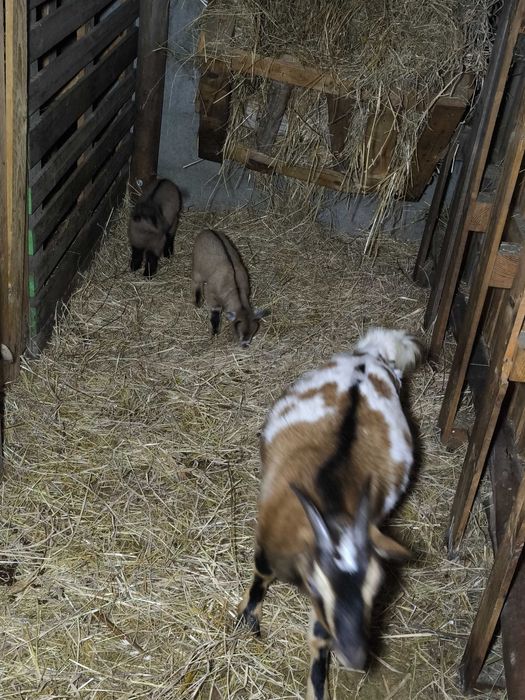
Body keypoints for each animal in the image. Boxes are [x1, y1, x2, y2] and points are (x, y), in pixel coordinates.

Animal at [238, 327, 421, 699]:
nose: (355, 656)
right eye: (315, 585)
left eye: (377, 587)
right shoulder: (268, 539)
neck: (331, 488)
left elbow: (320, 636)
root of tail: (369, 357)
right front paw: (249, 618)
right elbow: (261, 573)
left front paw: (317, 685)